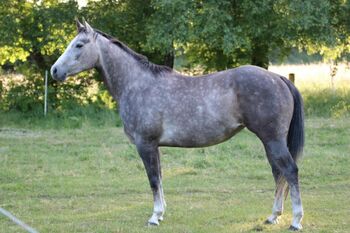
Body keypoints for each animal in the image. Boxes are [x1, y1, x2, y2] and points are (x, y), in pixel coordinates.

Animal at [50, 20, 304, 231]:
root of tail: (279, 78)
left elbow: (153, 180)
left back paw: (295, 221)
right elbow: (160, 179)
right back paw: (273, 216)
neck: (137, 85)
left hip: (272, 139)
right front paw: (161, 214)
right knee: (278, 173)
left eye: (79, 45)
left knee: (289, 171)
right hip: (270, 141)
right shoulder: (155, 147)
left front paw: (154, 217)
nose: (54, 70)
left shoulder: (145, 145)